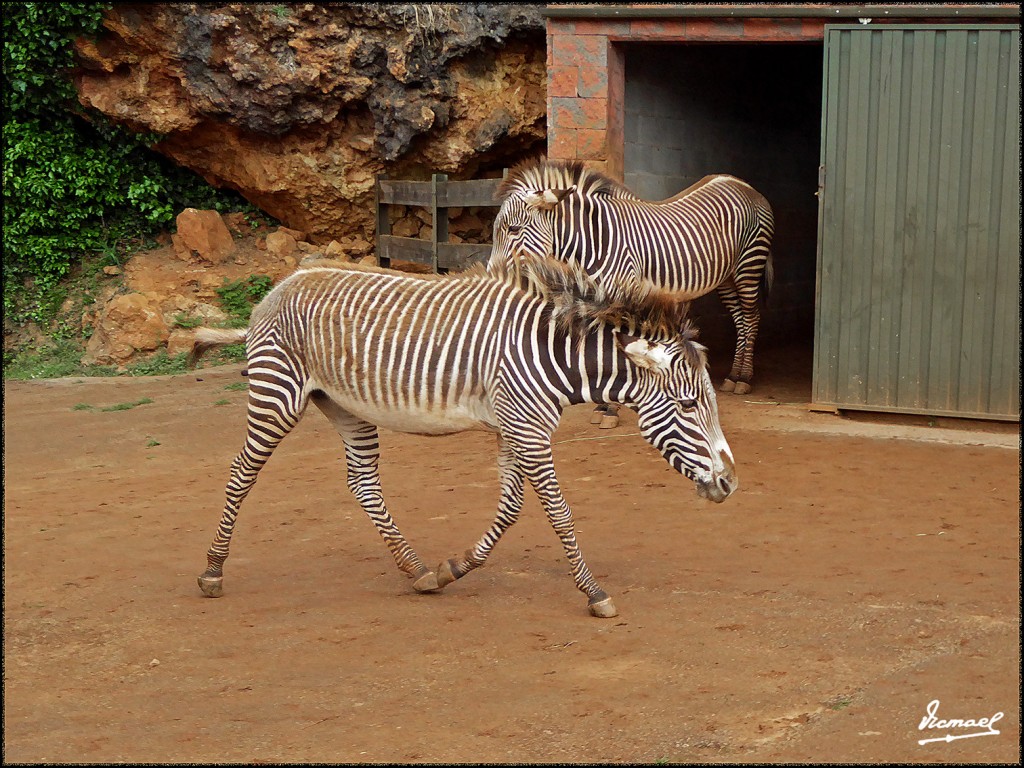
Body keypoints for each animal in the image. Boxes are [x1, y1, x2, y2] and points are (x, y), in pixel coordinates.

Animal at [186, 259, 737, 618]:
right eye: (689, 405)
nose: (730, 483)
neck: (554, 355)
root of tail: (278, 288)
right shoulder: (528, 428)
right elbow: (558, 512)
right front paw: (594, 593)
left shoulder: (513, 426)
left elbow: (511, 509)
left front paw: (454, 568)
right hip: (277, 393)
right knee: (242, 472)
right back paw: (213, 571)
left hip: (344, 406)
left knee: (362, 483)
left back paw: (417, 570)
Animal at [489, 159, 774, 430]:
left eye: (513, 229)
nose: (492, 273)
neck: (594, 241)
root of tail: (742, 184)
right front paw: (602, 406)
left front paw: (611, 411)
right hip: (726, 277)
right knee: (740, 319)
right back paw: (733, 375)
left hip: (749, 264)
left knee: (751, 318)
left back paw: (742, 378)